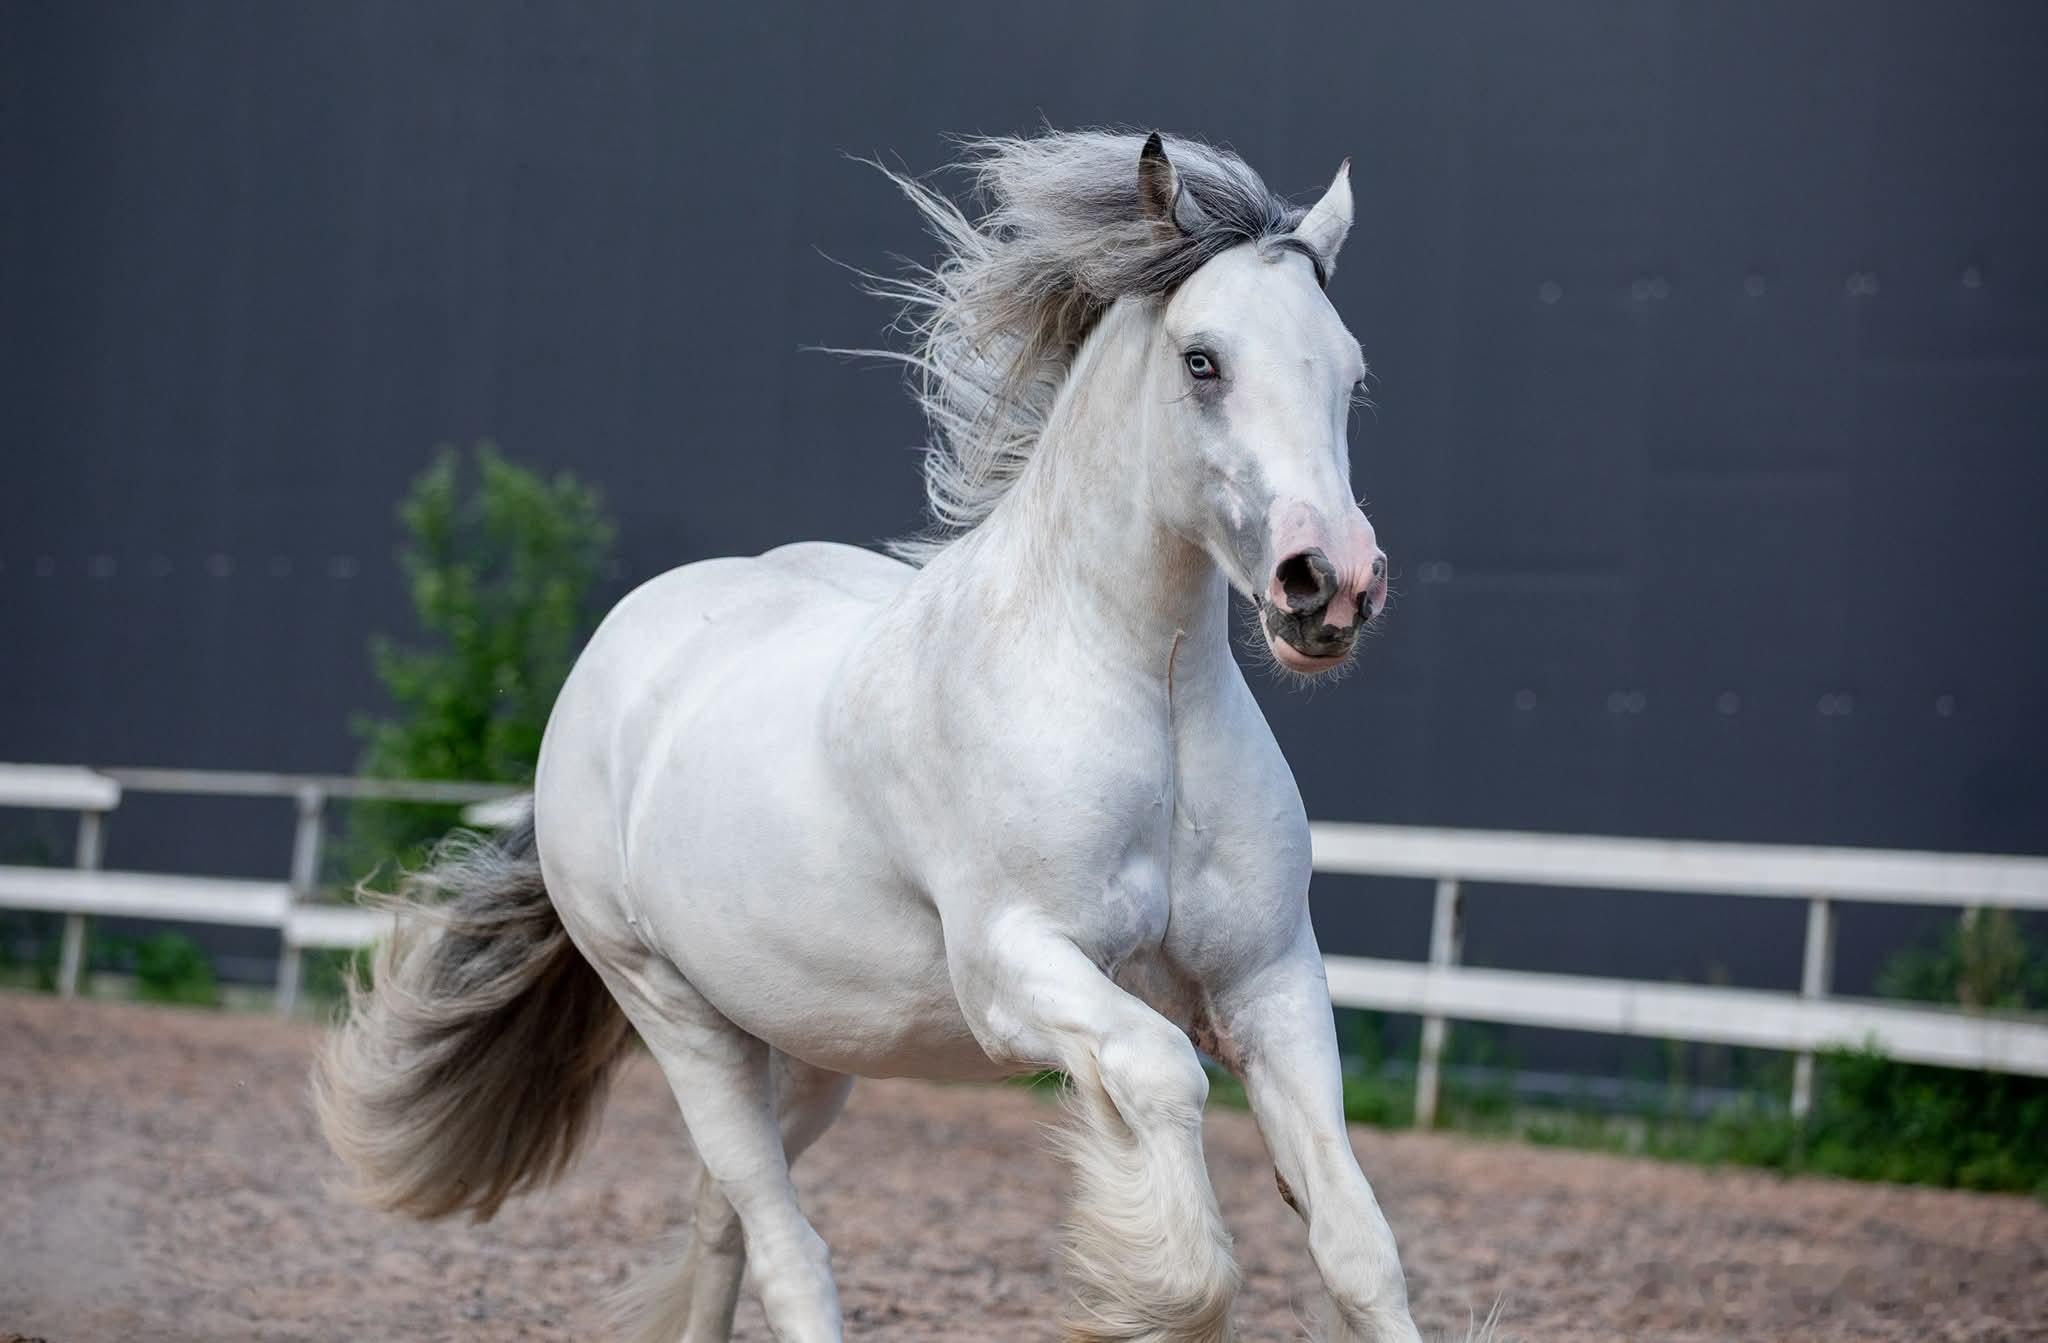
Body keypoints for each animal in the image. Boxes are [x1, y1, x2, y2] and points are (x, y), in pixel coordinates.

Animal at [317, 128, 1437, 1343]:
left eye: (1350, 371)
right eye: (1202, 360)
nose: (1329, 585)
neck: (1141, 691)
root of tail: (613, 660)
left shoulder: (1270, 982)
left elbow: (1357, 1243)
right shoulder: (1015, 969)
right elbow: (1161, 1083)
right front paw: (1142, 1284)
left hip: (813, 1043)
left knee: (720, 1223)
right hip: (676, 1014)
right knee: (783, 1245)